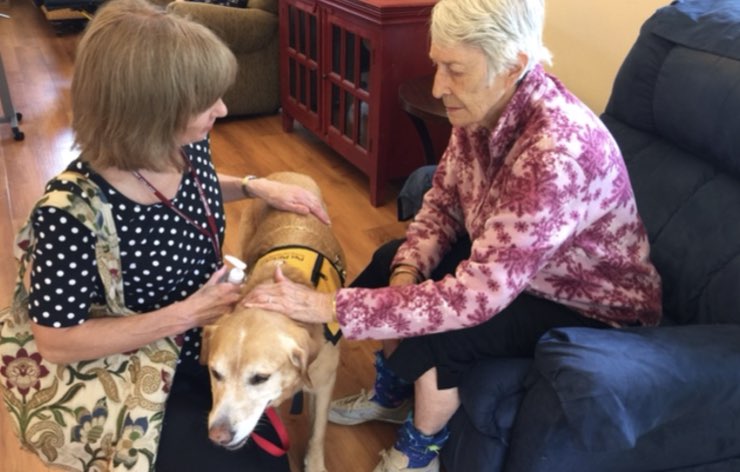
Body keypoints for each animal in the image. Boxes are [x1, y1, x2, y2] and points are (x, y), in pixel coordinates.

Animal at [199, 171, 344, 472]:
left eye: (260, 378)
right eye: (215, 373)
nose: (218, 436)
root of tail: (286, 175)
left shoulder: (324, 383)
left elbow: (318, 432)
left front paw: (314, 464)